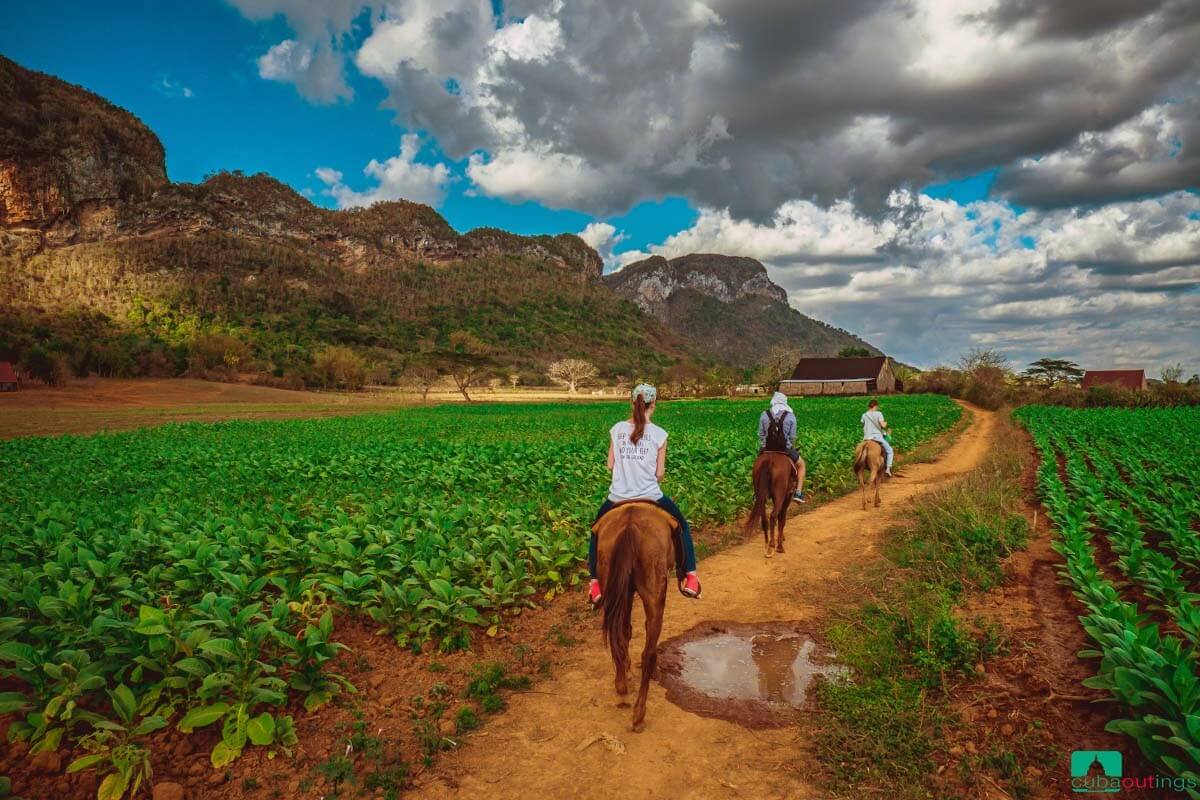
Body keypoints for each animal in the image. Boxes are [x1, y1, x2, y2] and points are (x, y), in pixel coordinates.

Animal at [590, 503, 676, 734]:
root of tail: (630, 525)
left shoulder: (625, 590)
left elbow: (625, 630)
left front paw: (626, 668)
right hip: (655, 590)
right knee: (649, 652)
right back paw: (638, 715)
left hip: (611, 581)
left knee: (616, 634)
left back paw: (621, 685)